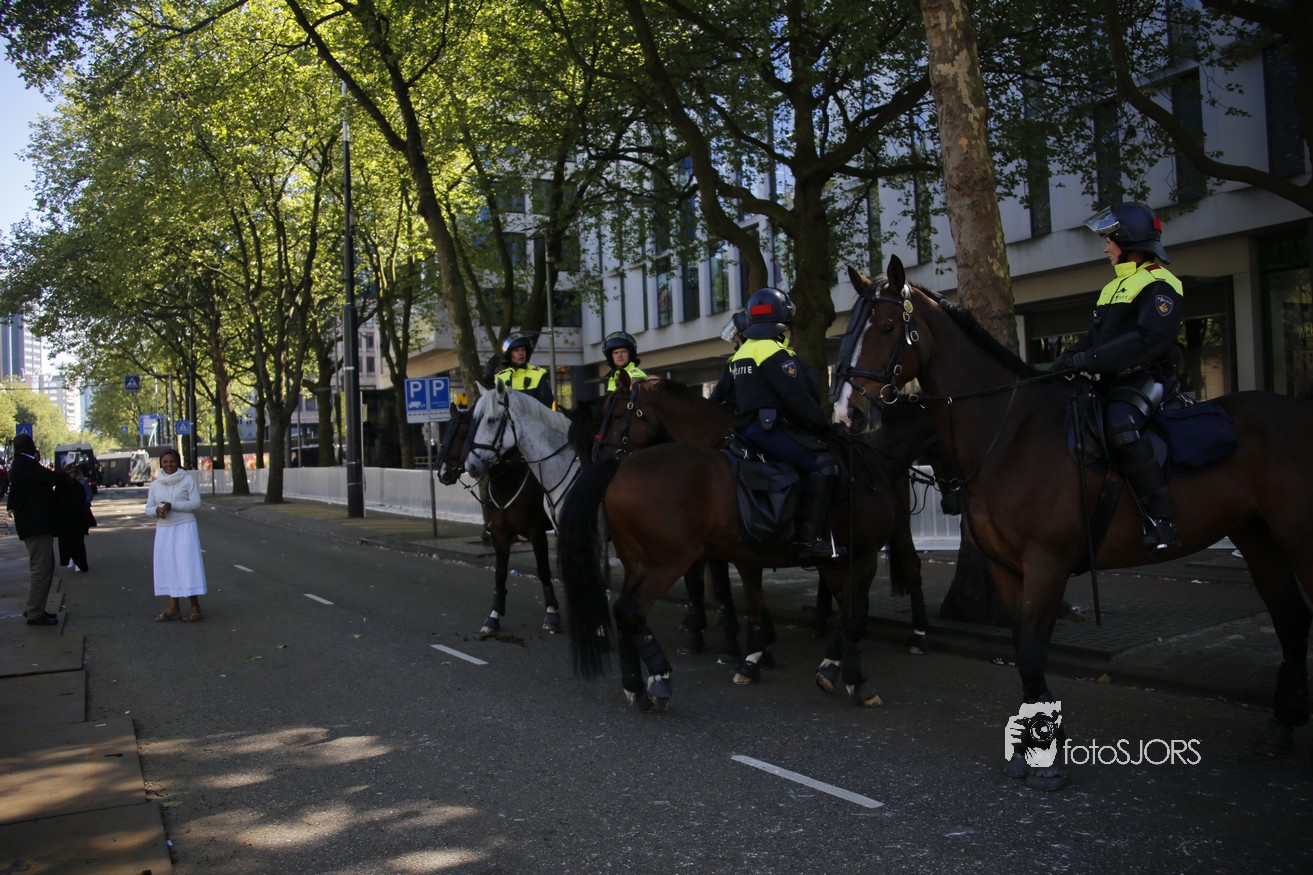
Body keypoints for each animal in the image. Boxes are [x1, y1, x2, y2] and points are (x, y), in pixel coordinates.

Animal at [437, 402, 562, 638]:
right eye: (446, 431)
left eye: (464, 435)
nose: (442, 473)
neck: (509, 479)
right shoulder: (499, 533)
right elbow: (500, 574)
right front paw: (493, 617)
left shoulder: (536, 532)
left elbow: (543, 571)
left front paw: (551, 614)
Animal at [556, 403, 904, 712]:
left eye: (617, 415)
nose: (597, 456)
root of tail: (620, 468)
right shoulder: (861, 559)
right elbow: (853, 618)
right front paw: (855, 681)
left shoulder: (831, 562)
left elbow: (836, 613)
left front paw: (822, 667)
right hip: (665, 563)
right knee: (631, 610)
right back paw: (660, 679)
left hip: (638, 563)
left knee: (622, 612)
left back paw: (636, 687)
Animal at [834, 255, 1313, 790]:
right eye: (848, 330)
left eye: (887, 327)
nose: (847, 412)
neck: (1013, 433)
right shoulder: (1007, 566)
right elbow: (1024, 648)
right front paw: (1033, 747)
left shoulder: (1048, 561)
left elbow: (1032, 649)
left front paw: (1049, 760)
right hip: (1258, 535)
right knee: (1292, 618)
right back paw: (1281, 726)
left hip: (1299, 537)